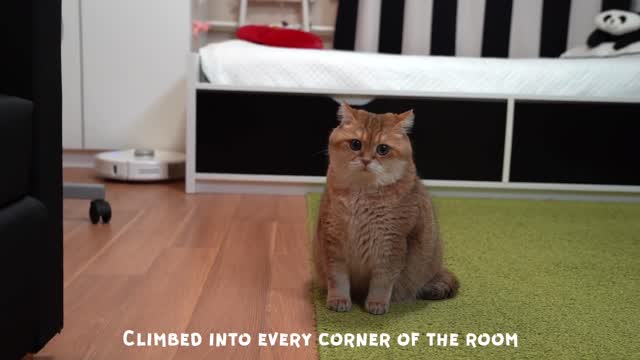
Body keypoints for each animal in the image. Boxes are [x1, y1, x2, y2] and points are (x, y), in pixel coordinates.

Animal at [312, 102, 458, 314]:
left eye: (383, 149)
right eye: (356, 144)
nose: (366, 160)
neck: (363, 195)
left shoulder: (391, 244)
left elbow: (382, 282)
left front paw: (376, 303)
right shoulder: (333, 241)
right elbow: (337, 279)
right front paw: (339, 300)